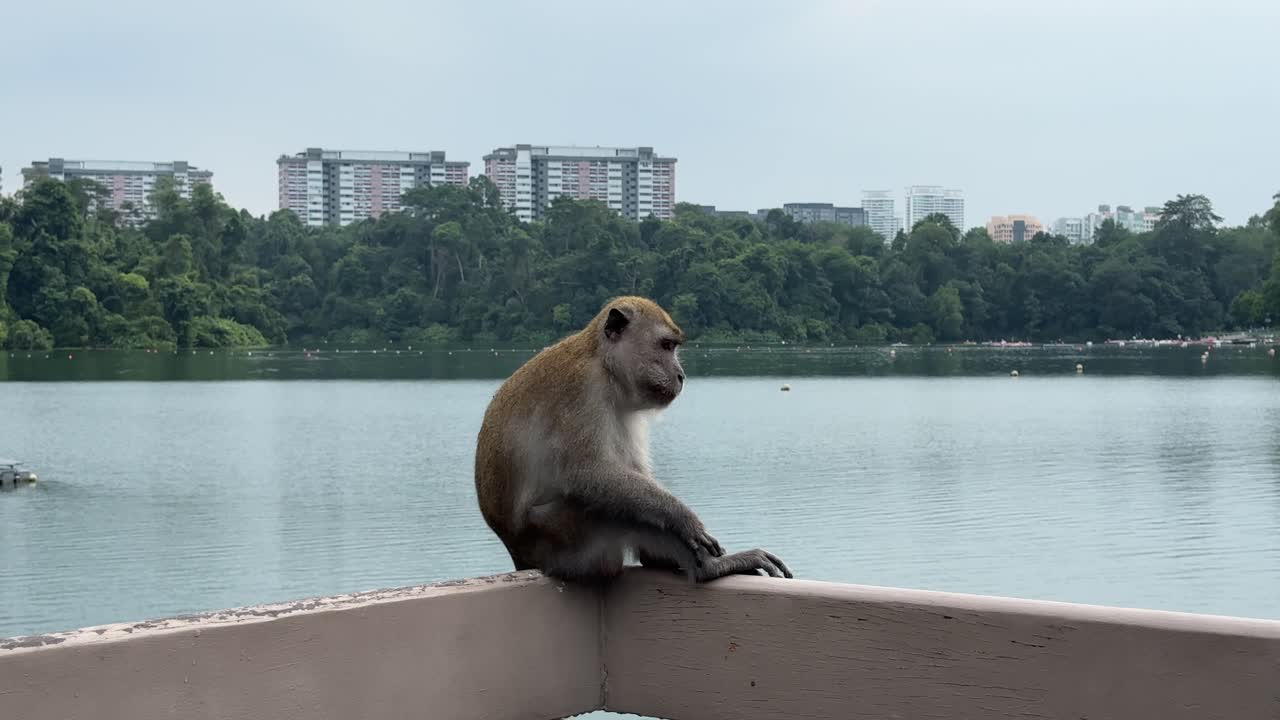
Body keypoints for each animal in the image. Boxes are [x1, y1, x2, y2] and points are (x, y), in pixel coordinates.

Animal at [473, 295, 792, 584]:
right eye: (666, 346)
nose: (681, 375)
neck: (604, 364)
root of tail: (519, 554)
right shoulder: (583, 389)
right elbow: (587, 473)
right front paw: (682, 517)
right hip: (561, 539)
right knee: (608, 505)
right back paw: (708, 568)